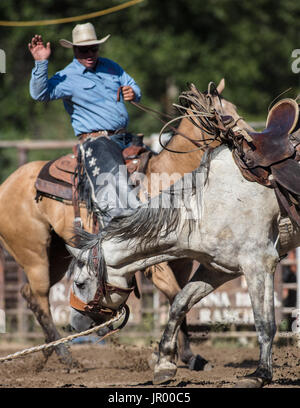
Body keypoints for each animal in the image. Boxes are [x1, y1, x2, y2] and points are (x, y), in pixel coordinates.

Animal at [0, 79, 231, 370]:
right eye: (222, 115)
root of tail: (7, 184)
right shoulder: (153, 266)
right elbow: (176, 296)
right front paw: (181, 356)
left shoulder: (183, 261)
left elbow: (182, 297)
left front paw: (184, 356)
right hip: (33, 254)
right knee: (40, 298)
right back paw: (66, 356)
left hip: (57, 255)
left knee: (28, 293)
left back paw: (48, 352)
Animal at [67, 84, 300, 388]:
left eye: (80, 283)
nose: (73, 324)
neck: (204, 206)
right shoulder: (218, 268)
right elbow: (180, 303)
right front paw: (165, 363)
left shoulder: (258, 264)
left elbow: (264, 322)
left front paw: (260, 374)